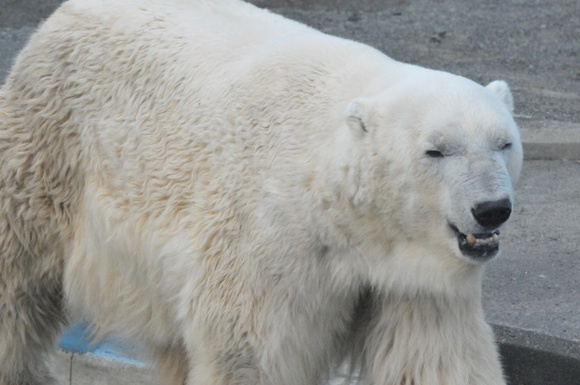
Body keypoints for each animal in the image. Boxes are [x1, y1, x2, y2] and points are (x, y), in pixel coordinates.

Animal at [0, 0, 524, 384]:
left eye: (504, 142)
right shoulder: (272, 237)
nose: (492, 210)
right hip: (49, 150)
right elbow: (249, 348)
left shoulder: (416, 278)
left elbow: (435, 357)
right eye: (436, 150)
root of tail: (59, 17)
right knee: (18, 281)